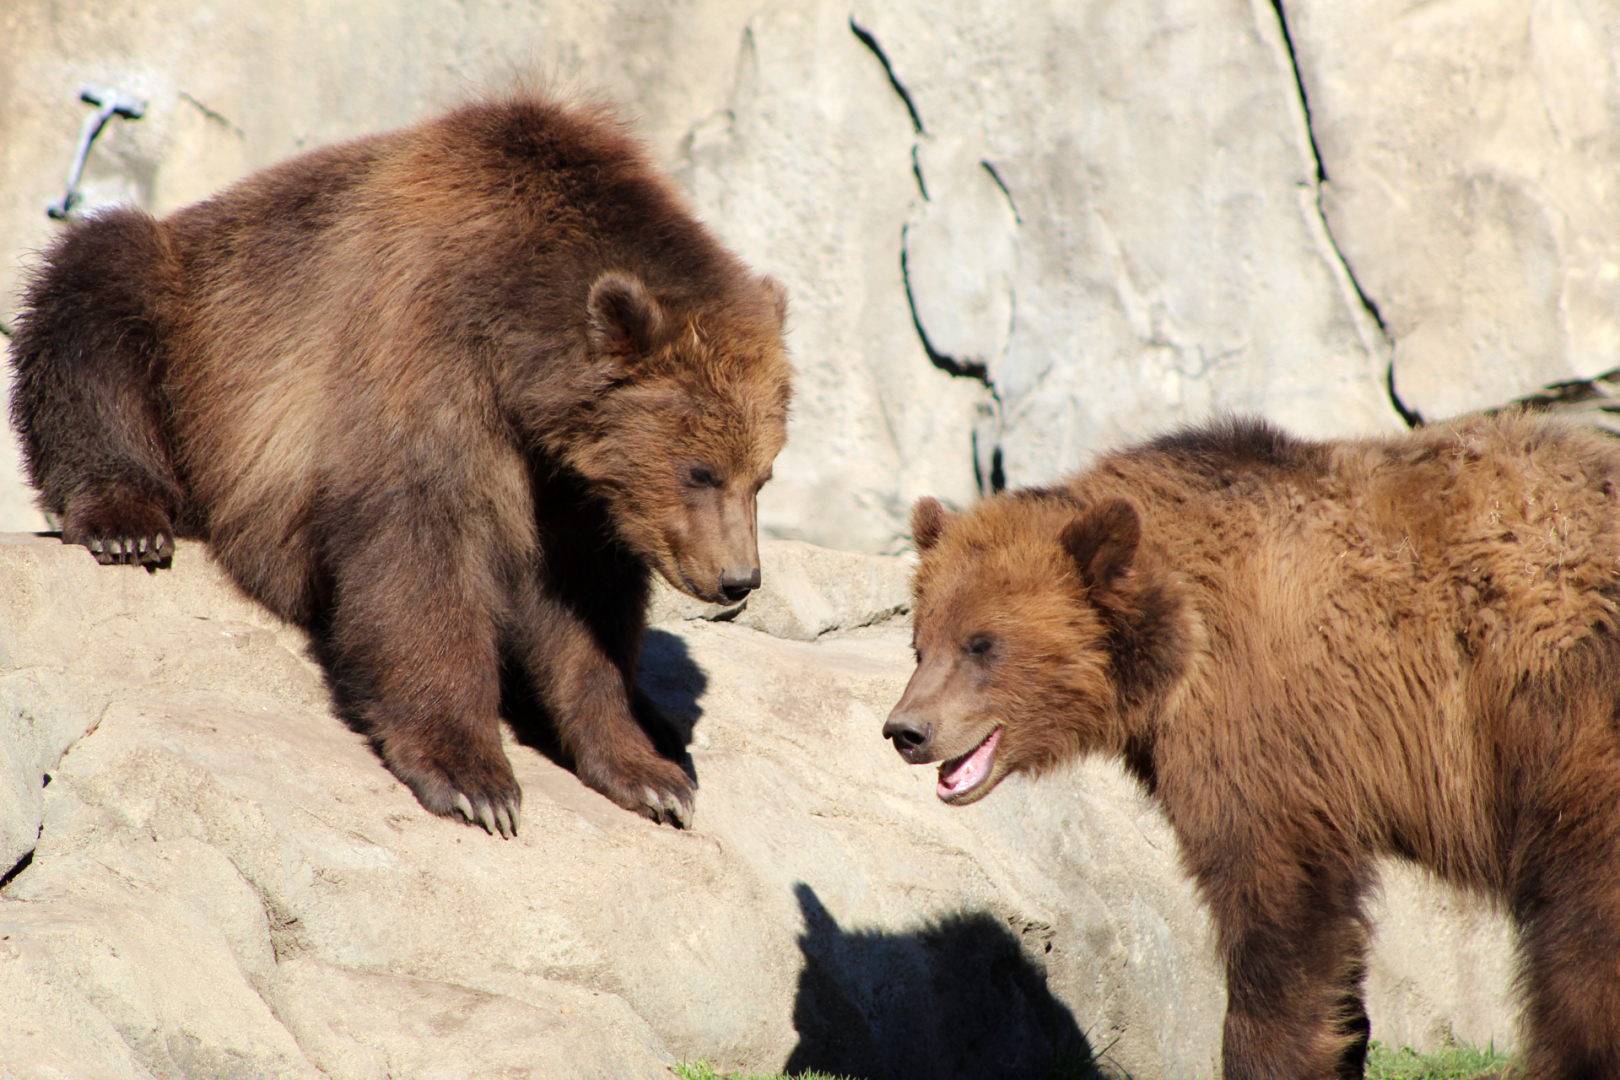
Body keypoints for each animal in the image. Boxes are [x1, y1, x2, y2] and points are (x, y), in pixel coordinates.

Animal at [8, 93, 793, 838]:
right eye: (699, 470)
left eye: (761, 476)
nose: (738, 580)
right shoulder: (425, 353)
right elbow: (419, 551)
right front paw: (475, 782)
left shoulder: (572, 488)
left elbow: (585, 613)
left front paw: (652, 774)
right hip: (186, 316)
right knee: (97, 288)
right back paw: (125, 520)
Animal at [883, 412, 1620, 1080]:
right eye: (921, 643)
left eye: (983, 644)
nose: (906, 730)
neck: (1175, 644)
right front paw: (1344, 1041)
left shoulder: (1261, 727)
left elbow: (1275, 908)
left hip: (1566, 725)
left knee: (1582, 936)